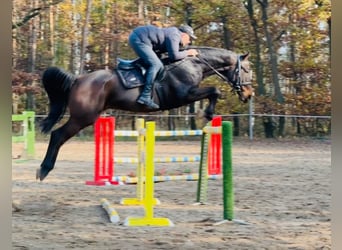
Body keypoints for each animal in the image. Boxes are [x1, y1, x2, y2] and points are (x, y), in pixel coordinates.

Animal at [36, 46, 254, 181]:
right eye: (246, 70)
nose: (249, 94)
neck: (193, 63)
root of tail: (77, 79)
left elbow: (213, 92)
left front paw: (206, 114)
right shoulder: (184, 95)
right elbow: (214, 91)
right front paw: (206, 114)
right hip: (83, 118)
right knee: (57, 135)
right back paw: (44, 169)